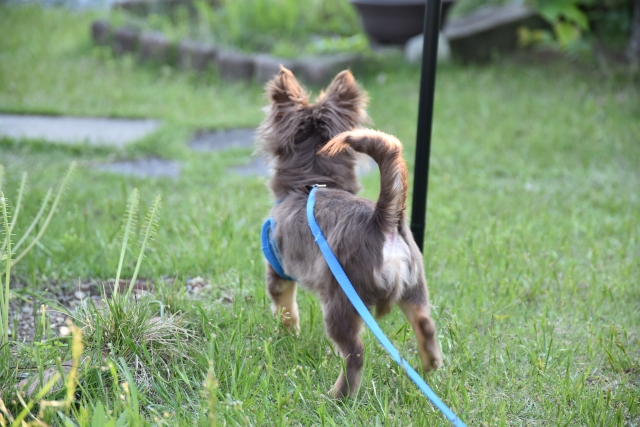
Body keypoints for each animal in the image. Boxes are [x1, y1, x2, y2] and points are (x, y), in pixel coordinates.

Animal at [258, 66, 442, 398]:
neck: (312, 181)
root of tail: (382, 219)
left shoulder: (277, 271)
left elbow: (285, 308)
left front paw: (288, 335)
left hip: (341, 300)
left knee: (355, 352)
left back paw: (337, 395)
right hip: (413, 287)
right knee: (425, 323)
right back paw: (429, 364)